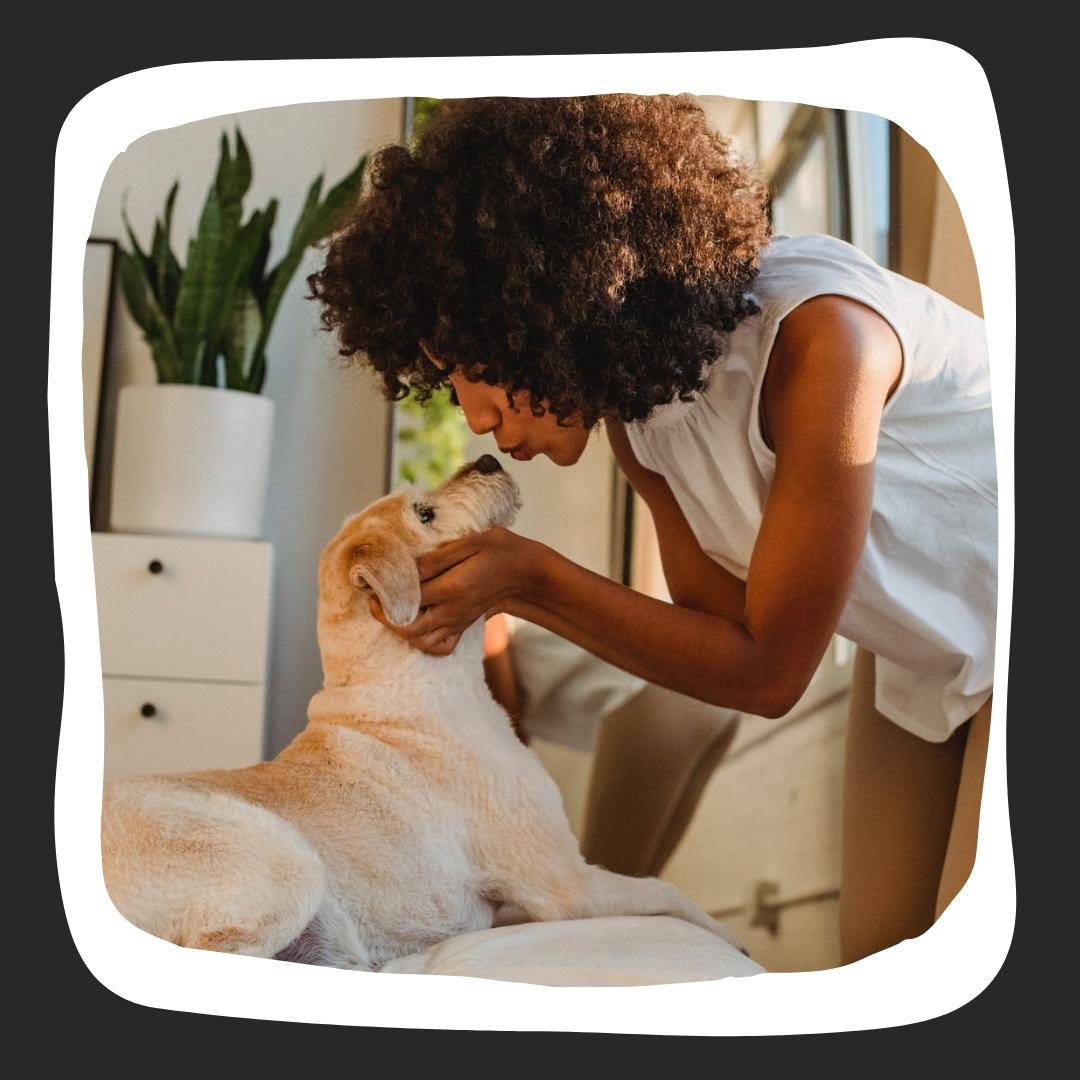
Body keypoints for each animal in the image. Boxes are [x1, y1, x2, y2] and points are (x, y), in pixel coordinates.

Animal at [101, 455, 743, 972]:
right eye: (426, 514)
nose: (488, 457)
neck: (416, 683)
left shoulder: (520, 904)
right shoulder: (569, 886)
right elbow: (671, 894)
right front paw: (731, 939)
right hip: (284, 865)